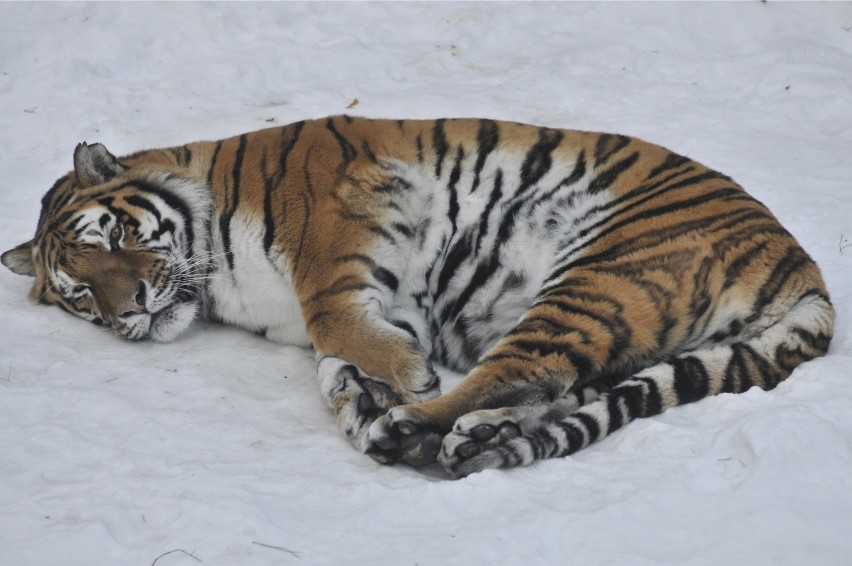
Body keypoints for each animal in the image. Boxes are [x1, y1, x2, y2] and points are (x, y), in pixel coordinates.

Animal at [3, 116, 836, 480]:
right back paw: (464, 437)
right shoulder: (356, 311)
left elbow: (332, 314)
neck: (217, 281)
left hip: (604, 272)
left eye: (114, 235)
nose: (132, 309)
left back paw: (415, 429)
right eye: (83, 293)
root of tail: (798, 264)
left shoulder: (339, 219)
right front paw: (363, 397)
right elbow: (335, 361)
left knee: (526, 369)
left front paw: (402, 382)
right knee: (561, 387)